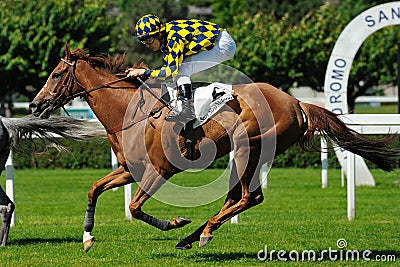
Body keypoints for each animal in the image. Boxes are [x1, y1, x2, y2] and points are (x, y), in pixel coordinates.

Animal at [29, 43, 398, 251]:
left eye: (57, 73)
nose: (35, 105)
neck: (130, 114)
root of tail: (295, 102)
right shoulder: (128, 170)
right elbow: (94, 189)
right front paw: (87, 238)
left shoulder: (158, 171)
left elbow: (134, 207)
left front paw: (174, 222)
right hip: (244, 155)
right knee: (236, 197)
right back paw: (193, 237)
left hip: (249, 147)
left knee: (250, 197)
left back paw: (202, 233)